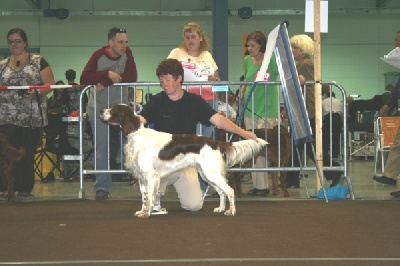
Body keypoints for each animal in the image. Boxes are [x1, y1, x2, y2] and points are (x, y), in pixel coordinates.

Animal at [99, 104, 268, 218]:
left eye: (114, 110)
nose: (101, 111)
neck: (136, 135)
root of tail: (214, 142)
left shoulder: (150, 175)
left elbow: (150, 198)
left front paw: (147, 213)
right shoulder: (141, 177)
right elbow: (144, 197)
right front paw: (142, 211)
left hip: (211, 173)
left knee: (229, 190)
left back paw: (231, 211)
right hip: (207, 174)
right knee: (221, 191)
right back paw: (220, 209)